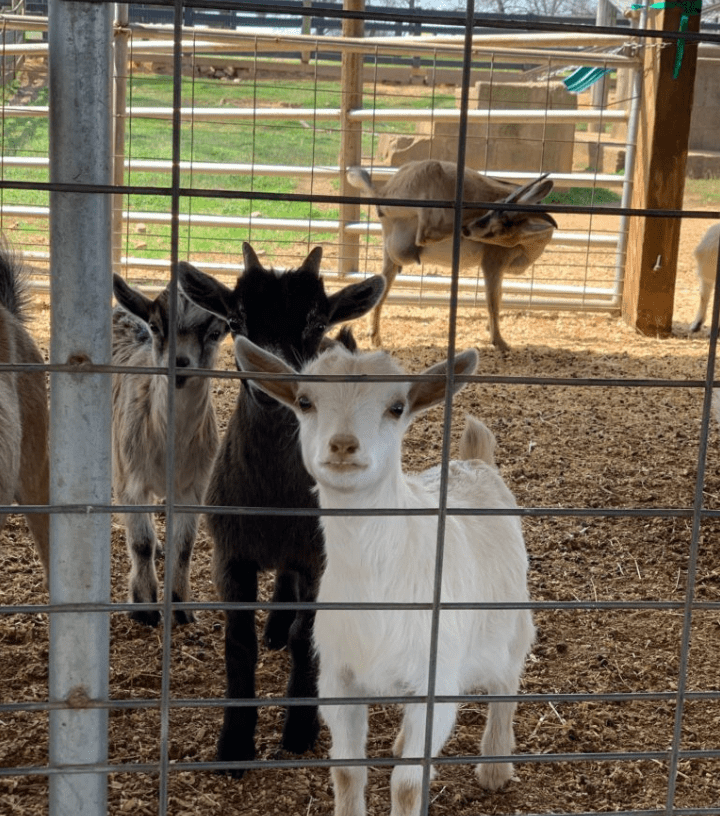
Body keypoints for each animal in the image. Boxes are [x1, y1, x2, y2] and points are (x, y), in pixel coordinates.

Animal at [236, 336, 536, 816]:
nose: (343, 445)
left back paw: (495, 766)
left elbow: (407, 785)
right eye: (305, 401)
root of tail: (474, 462)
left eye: (397, 407)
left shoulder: (436, 682)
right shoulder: (338, 681)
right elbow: (347, 772)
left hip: (511, 624)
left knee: (506, 685)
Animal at [348, 159, 556, 350]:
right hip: (429, 184)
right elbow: (493, 301)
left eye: (501, 228)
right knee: (425, 233)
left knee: (385, 281)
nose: (468, 229)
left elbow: (499, 297)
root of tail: (383, 192)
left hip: (389, 249)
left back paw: (375, 339)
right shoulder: (492, 262)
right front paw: (500, 342)